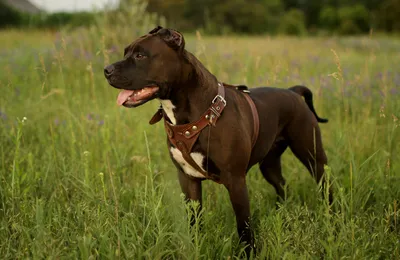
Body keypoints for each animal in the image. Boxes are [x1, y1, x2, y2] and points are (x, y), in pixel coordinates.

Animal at [103, 26, 332, 256]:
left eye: (140, 55)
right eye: (125, 52)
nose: (106, 70)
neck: (199, 114)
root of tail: (293, 91)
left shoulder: (236, 180)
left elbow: (244, 226)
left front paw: (249, 253)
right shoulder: (188, 178)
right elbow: (194, 220)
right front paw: (195, 247)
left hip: (312, 156)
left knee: (325, 185)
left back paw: (330, 217)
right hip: (269, 163)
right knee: (281, 184)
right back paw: (281, 213)